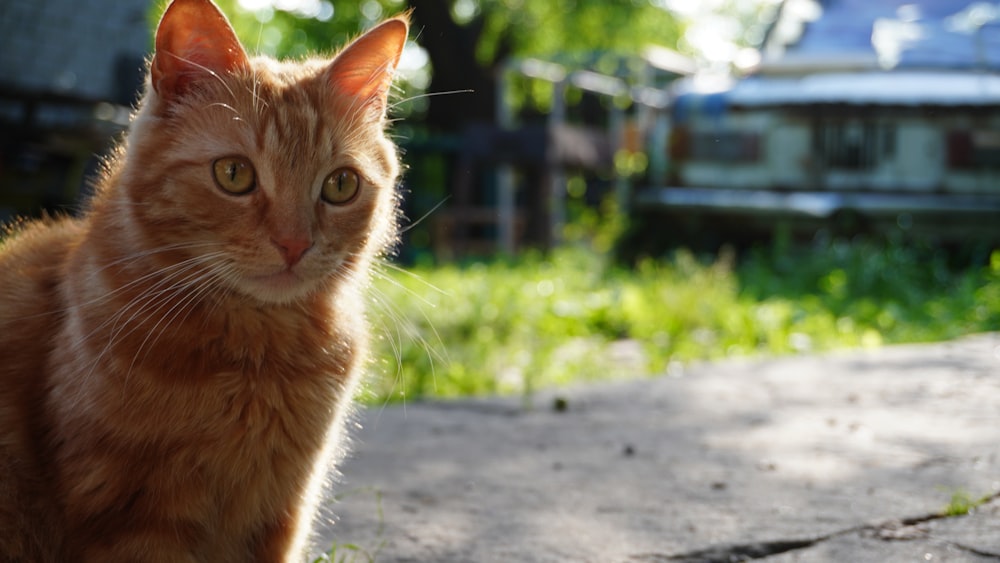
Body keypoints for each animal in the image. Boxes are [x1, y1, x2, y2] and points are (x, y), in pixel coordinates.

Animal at [0, 2, 406, 560]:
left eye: (340, 185)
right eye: (234, 174)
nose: (294, 244)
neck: (260, 357)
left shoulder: (282, 511)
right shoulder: (134, 517)